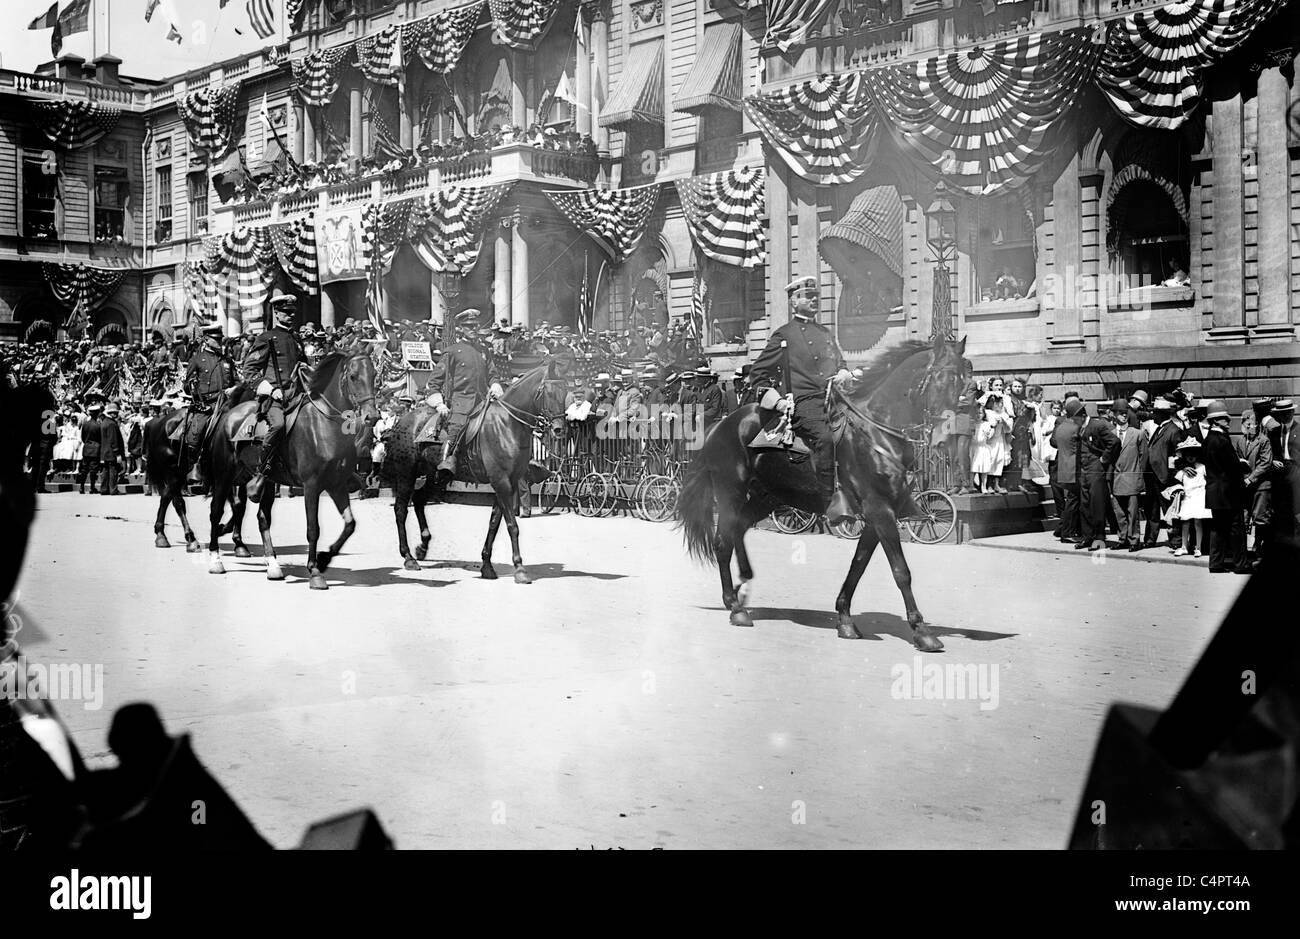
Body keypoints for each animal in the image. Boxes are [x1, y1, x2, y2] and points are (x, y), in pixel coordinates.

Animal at [202, 348, 377, 587]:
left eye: (374, 375)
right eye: (353, 376)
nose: (372, 416)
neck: (324, 425)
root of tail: (228, 415)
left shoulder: (337, 485)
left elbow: (350, 524)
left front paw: (324, 558)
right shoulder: (312, 486)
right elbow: (313, 529)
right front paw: (314, 571)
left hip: (265, 480)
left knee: (262, 518)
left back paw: (273, 565)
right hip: (223, 476)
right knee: (216, 512)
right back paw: (215, 560)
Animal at [384, 356, 569, 577]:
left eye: (565, 391)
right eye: (548, 391)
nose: (560, 430)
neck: (507, 424)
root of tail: (403, 420)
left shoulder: (508, 483)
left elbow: (494, 523)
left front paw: (487, 565)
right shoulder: (501, 482)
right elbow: (512, 525)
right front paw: (519, 568)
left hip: (437, 476)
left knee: (419, 500)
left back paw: (423, 546)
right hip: (406, 473)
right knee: (401, 509)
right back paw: (408, 557)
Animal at [676, 335, 972, 650]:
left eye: (965, 381)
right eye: (941, 378)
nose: (945, 438)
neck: (878, 430)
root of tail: (721, 424)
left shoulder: (877, 515)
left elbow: (858, 565)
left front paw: (845, 618)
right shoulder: (880, 510)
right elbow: (901, 571)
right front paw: (921, 630)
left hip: (768, 496)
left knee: (737, 531)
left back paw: (743, 586)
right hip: (730, 493)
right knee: (722, 543)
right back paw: (735, 606)